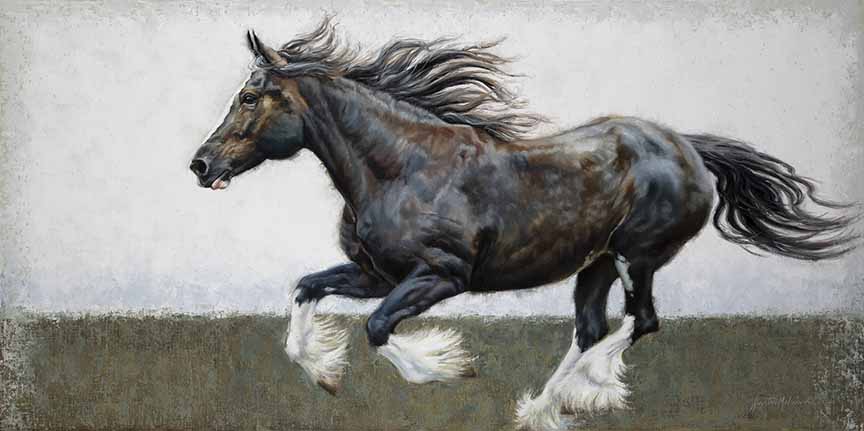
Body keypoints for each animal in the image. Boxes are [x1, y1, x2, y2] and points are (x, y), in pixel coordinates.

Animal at [189, 18, 858, 430]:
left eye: (249, 97)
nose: (200, 165)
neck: (401, 166)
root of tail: (688, 147)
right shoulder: (376, 273)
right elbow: (307, 288)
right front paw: (323, 372)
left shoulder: (442, 276)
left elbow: (378, 328)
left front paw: (445, 367)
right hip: (594, 265)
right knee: (592, 328)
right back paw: (539, 409)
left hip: (635, 257)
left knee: (639, 323)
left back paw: (591, 386)